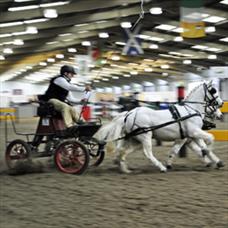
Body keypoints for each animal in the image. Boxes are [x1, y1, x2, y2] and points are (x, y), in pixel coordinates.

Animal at [94, 82, 223, 173]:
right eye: (213, 91)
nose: (221, 104)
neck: (190, 110)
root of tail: (129, 114)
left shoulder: (190, 136)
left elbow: (182, 149)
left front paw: (215, 161)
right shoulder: (194, 132)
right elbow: (210, 139)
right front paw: (208, 155)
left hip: (135, 140)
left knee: (122, 151)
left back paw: (124, 168)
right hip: (145, 136)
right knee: (147, 153)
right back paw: (161, 167)